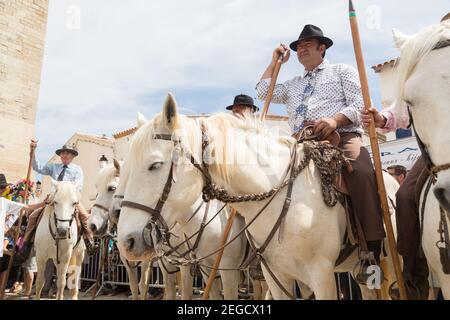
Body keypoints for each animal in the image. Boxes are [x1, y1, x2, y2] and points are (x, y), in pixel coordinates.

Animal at [87, 161, 151, 302]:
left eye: (111, 188)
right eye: (97, 190)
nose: (92, 226)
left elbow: (143, 285)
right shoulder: (125, 258)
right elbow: (133, 285)